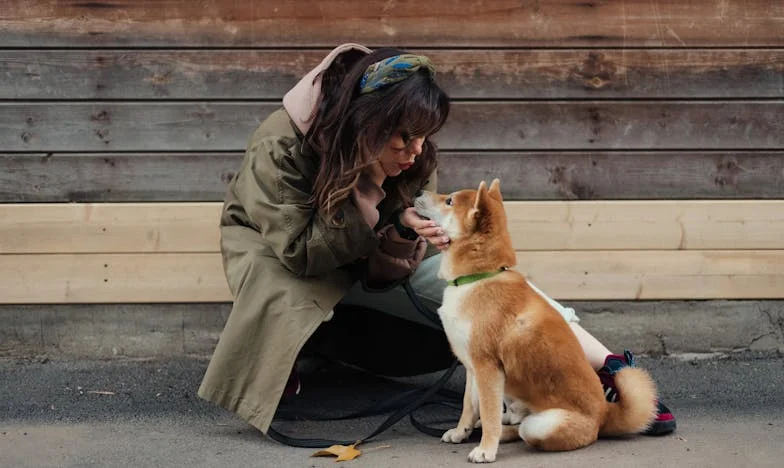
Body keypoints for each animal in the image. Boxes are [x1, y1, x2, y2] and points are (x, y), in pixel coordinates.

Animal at [414, 180, 660, 464]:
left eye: (449, 201)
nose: (418, 191)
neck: (478, 277)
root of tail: (604, 415)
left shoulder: (487, 368)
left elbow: (487, 414)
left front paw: (486, 449)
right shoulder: (473, 366)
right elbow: (469, 406)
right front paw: (460, 431)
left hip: (542, 425)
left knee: (521, 429)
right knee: (512, 421)